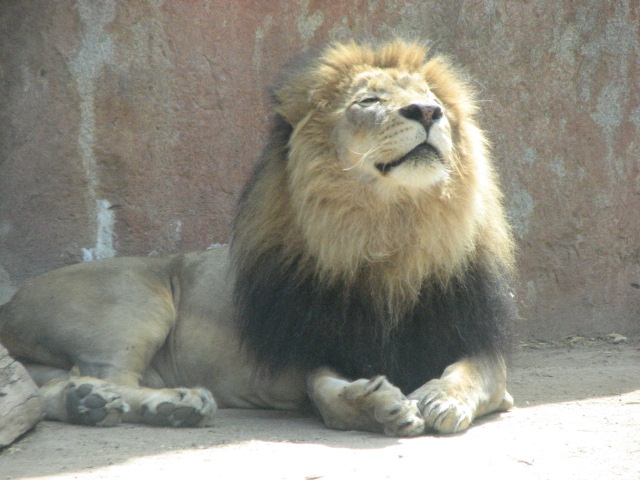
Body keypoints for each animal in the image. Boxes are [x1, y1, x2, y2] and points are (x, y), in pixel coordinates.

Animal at [0, 40, 516, 436]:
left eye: (433, 99)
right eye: (368, 102)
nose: (428, 112)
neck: (396, 227)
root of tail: (9, 306)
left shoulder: (476, 338)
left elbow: (472, 374)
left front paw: (442, 399)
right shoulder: (321, 346)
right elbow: (326, 396)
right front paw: (376, 407)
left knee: (51, 386)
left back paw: (98, 403)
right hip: (135, 303)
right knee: (106, 373)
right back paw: (168, 403)